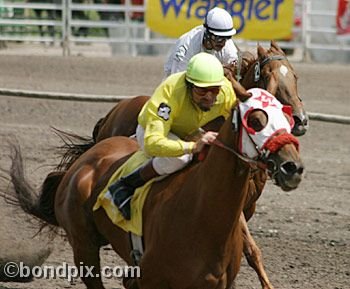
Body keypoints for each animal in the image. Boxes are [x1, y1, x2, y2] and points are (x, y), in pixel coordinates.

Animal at [5, 104, 302, 286]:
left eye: (286, 119)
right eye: (255, 120)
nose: (293, 167)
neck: (202, 214)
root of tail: (83, 162)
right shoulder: (153, 279)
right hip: (84, 247)